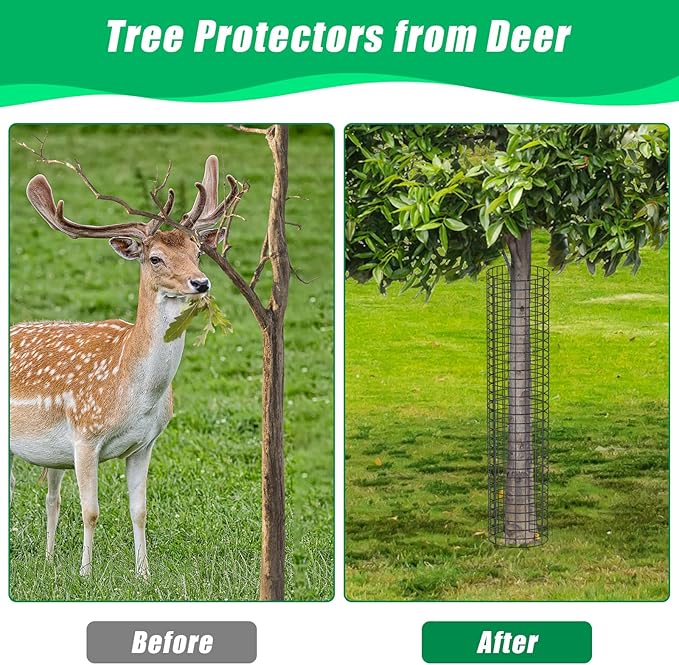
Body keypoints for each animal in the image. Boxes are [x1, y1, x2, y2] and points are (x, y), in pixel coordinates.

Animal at [10, 155, 242, 577]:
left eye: (198, 252)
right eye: (155, 257)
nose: (201, 283)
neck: (134, 392)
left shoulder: (145, 444)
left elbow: (140, 510)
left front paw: (144, 575)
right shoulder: (85, 436)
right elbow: (91, 511)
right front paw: (85, 574)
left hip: (52, 455)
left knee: (51, 496)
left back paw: (49, 561)